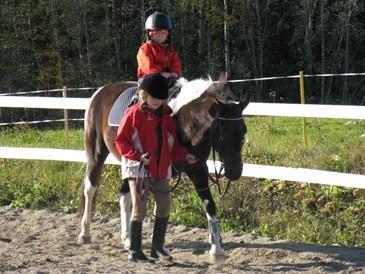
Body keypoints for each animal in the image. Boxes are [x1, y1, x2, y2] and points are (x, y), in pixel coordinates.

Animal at [78, 75, 249, 256]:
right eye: (222, 135)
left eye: (243, 132)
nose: (235, 171)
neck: (182, 122)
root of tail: (100, 91)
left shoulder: (198, 169)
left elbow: (208, 204)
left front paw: (216, 247)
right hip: (96, 153)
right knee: (90, 189)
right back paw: (85, 233)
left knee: (124, 195)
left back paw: (127, 239)